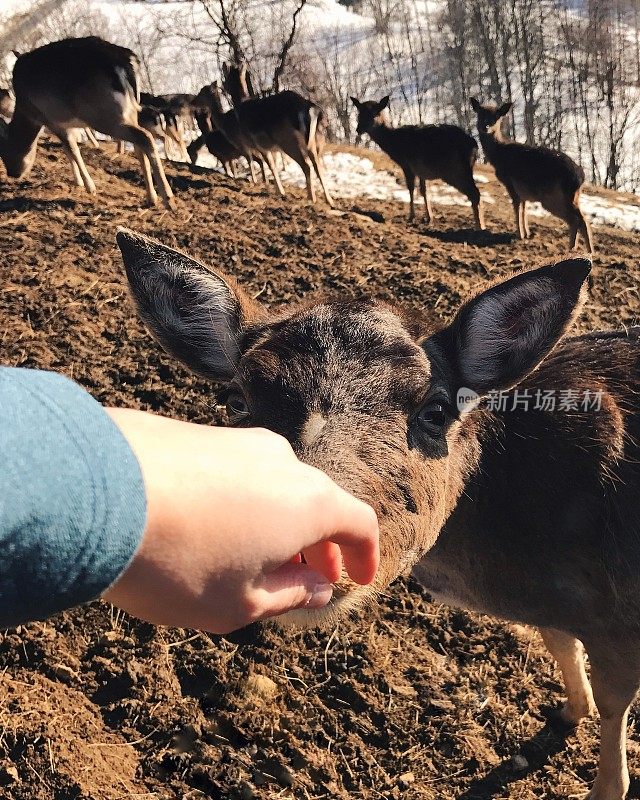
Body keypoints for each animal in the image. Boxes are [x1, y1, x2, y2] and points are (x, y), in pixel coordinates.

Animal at [0, 36, 174, 209]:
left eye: (3, 152)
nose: (12, 173)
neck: (26, 111)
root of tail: (128, 61)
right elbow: (68, 149)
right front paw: (79, 181)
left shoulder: (51, 120)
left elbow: (72, 149)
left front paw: (89, 187)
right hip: (130, 111)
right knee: (138, 145)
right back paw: (151, 197)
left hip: (103, 116)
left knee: (144, 137)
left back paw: (168, 199)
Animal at [117, 227, 640, 800]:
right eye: (236, 399)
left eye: (436, 410)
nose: (309, 541)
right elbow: (562, 645)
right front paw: (565, 714)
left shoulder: (621, 617)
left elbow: (614, 707)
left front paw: (604, 781)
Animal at [221, 63, 336, 206]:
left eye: (225, 77)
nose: (222, 88)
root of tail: (309, 109)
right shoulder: (272, 148)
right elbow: (274, 164)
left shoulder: (260, 144)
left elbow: (271, 165)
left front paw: (280, 191)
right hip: (316, 139)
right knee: (317, 166)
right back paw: (329, 200)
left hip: (289, 141)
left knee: (306, 166)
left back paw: (311, 197)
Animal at [350, 96, 484, 231]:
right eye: (359, 113)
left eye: (374, 113)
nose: (358, 129)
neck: (394, 144)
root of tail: (475, 146)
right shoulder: (421, 170)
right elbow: (424, 191)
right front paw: (429, 218)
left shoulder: (407, 165)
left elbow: (411, 188)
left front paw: (411, 217)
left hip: (455, 170)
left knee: (474, 193)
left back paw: (480, 226)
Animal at [470, 98, 596, 252]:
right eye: (480, 115)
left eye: (496, 117)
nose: (485, 127)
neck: (499, 156)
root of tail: (581, 177)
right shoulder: (523, 191)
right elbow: (524, 210)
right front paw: (527, 234)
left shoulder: (511, 183)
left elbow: (517, 208)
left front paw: (519, 234)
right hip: (570, 197)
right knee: (578, 219)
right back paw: (575, 248)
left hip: (554, 197)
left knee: (578, 219)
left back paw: (584, 250)